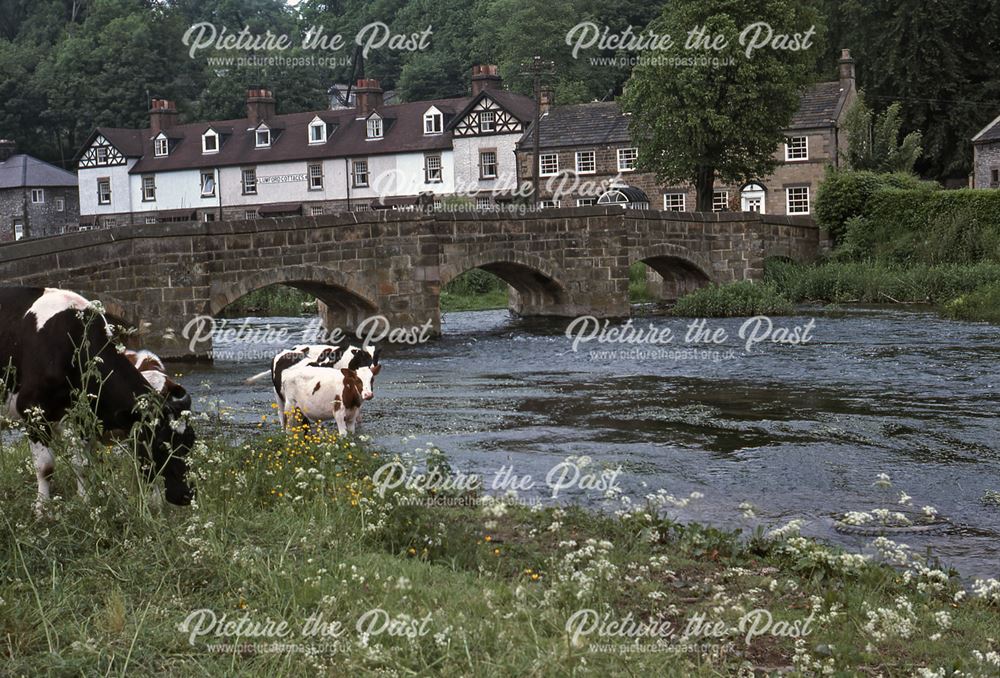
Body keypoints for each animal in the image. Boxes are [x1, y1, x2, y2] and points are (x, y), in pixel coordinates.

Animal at [0, 286, 197, 510]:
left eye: (190, 441)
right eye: (161, 444)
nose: (187, 495)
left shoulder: (82, 417)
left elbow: (82, 464)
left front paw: (85, 503)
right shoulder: (32, 410)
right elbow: (45, 467)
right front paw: (42, 509)